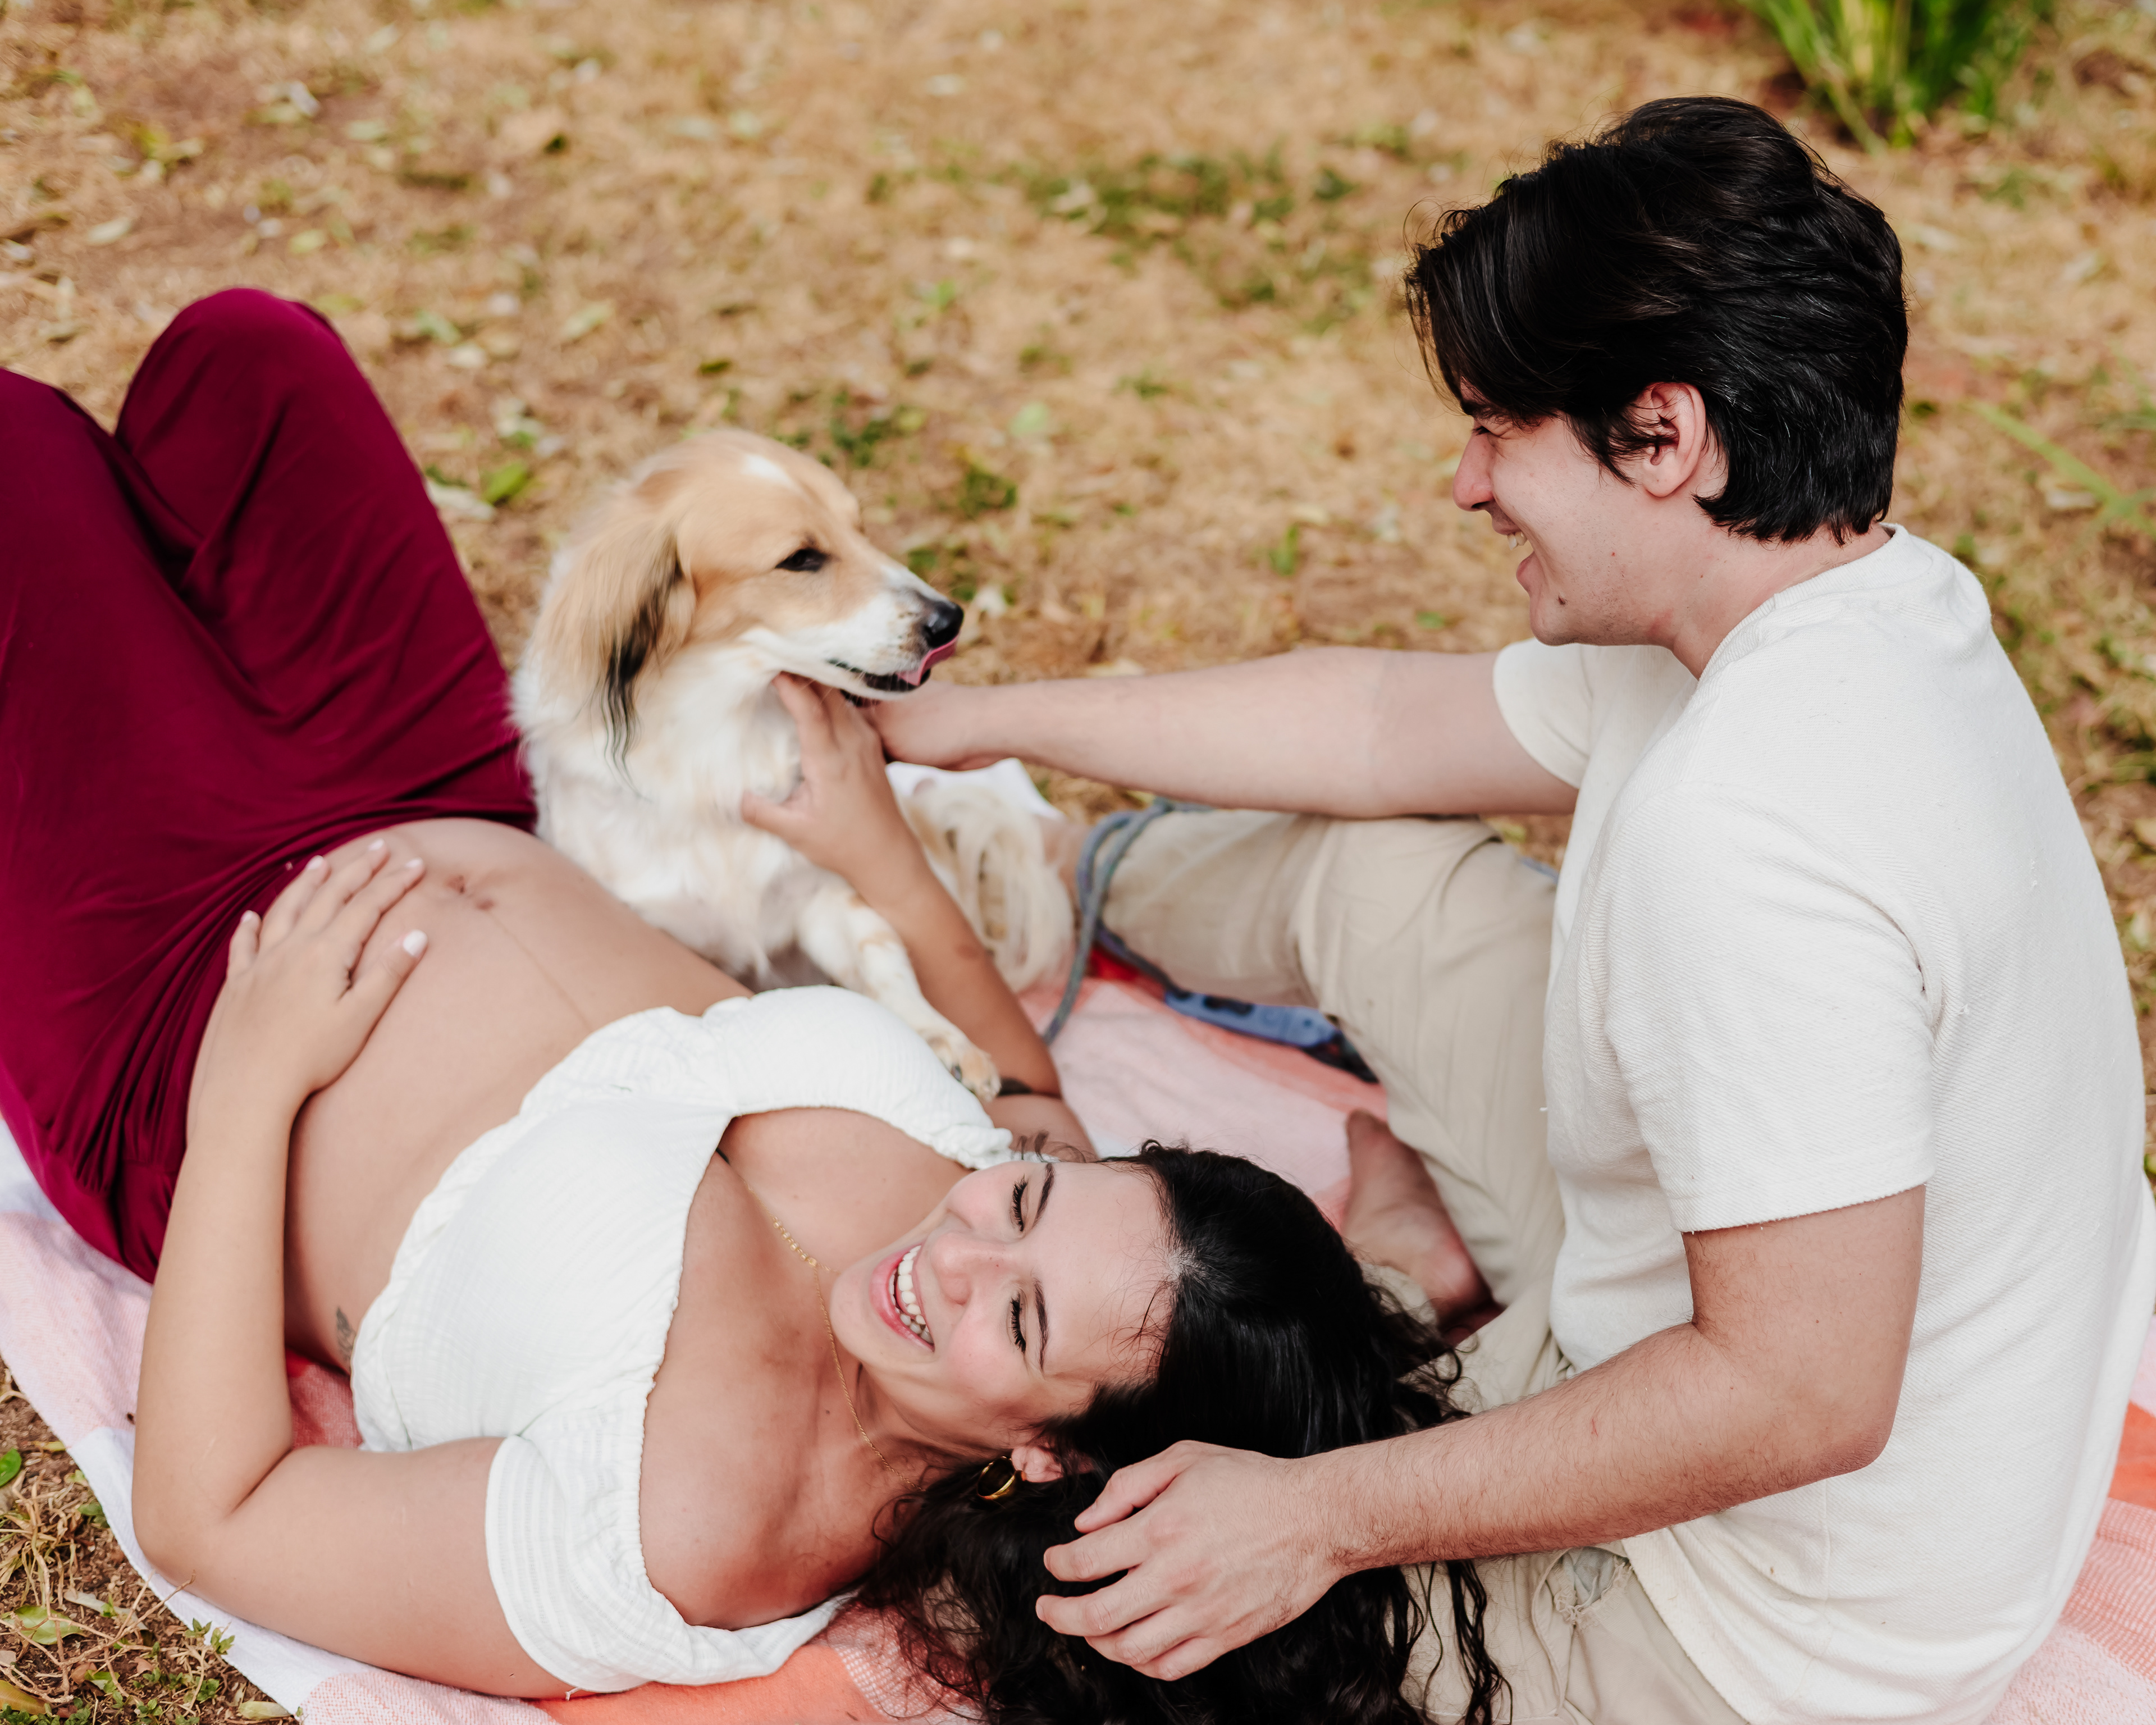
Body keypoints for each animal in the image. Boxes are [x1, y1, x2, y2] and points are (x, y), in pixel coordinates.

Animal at [513, 427, 1068, 1100]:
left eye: (860, 527)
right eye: (801, 559)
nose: (950, 621)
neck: (719, 738)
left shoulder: (824, 896)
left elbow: (886, 963)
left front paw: (942, 1039)